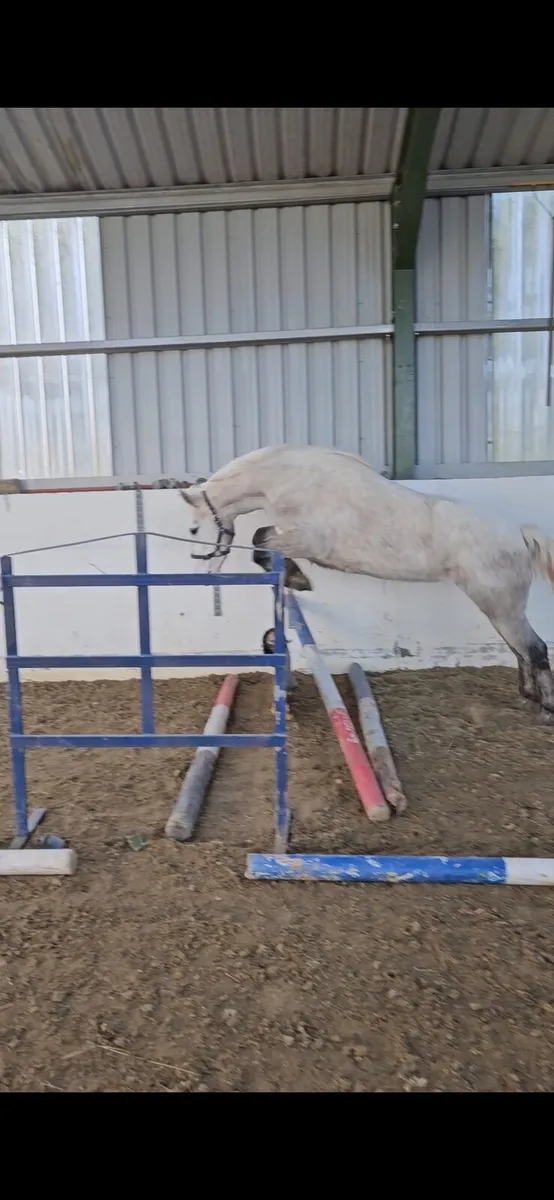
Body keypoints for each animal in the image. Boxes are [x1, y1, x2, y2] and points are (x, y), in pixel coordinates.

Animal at [179, 444, 554, 723]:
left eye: (193, 529)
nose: (202, 574)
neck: (293, 479)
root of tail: (520, 533)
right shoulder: (292, 536)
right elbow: (262, 542)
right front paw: (293, 578)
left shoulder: (305, 540)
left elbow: (259, 540)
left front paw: (297, 578)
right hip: (500, 609)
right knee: (520, 650)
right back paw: (526, 699)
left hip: (499, 605)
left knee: (534, 648)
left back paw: (546, 710)